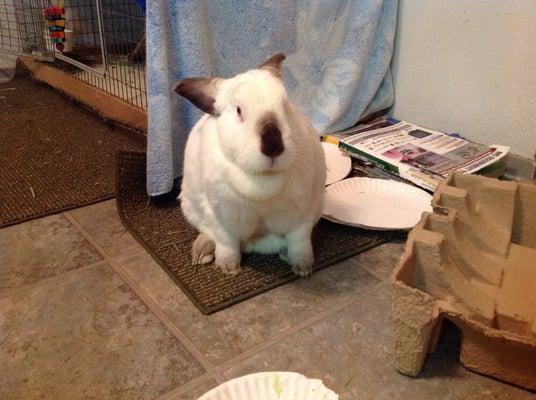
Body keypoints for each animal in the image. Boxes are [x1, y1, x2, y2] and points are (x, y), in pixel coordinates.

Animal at [176, 54, 326, 276]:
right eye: (239, 110)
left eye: (286, 106)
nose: (273, 147)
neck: (263, 179)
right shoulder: (220, 216)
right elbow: (227, 244)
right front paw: (228, 268)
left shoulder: (303, 215)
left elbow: (300, 243)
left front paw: (303, 267)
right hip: (191, 207)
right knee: (208, 233)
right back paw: (201, 251)